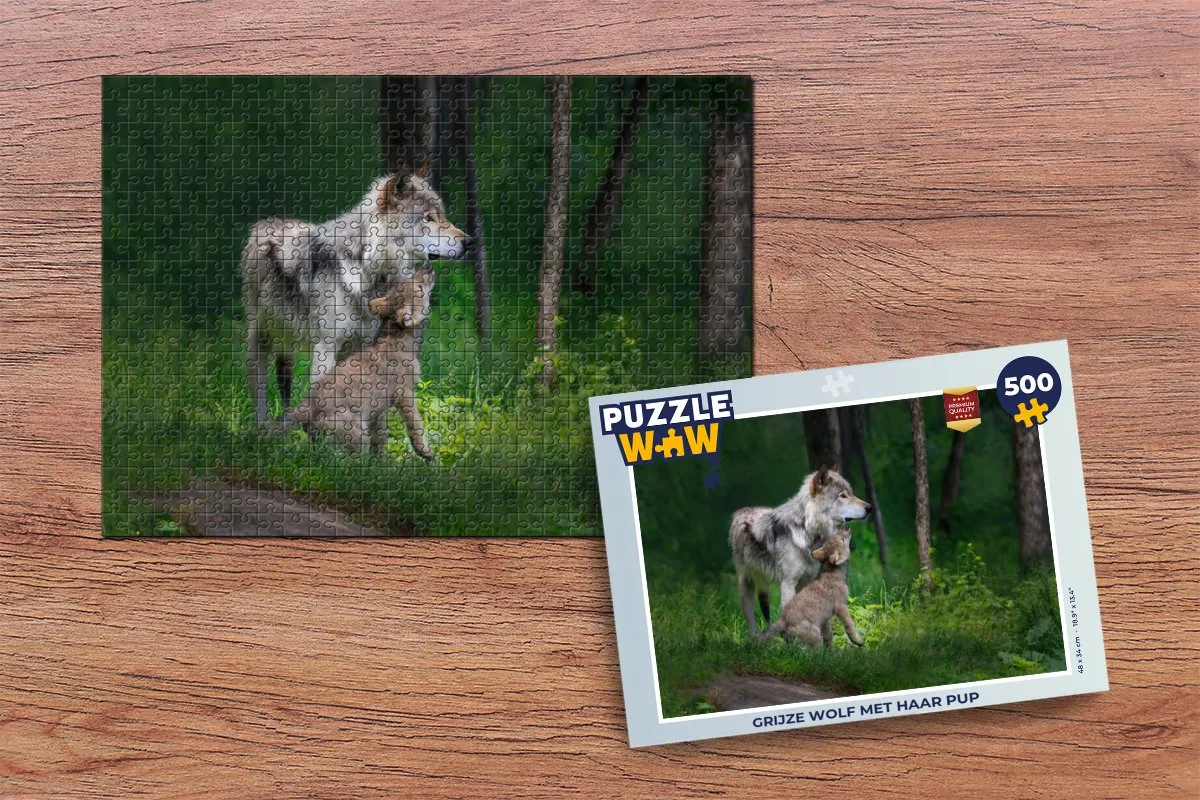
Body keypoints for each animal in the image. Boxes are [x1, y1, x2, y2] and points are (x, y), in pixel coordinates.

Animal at [240, 166, 470, 422]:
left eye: (443, 217)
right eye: (428, 218)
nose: (469, 241)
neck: (367, 267)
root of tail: (265, 223)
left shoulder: (362, 344)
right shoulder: (326, 346)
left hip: (286, 341)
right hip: (258, 344)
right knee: (260, 398)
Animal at [283, 274, 434, 458]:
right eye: (419, 288)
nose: (429, 270)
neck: (396, 339)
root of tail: (307, 405)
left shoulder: (377, 409)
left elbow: (380, 434)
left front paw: (380, 459)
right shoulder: (404, 393)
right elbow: (416, 425)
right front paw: (425, 451)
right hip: (357, 433)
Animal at [729, 465, 871, 637]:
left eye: (851, 493)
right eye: (842, 496)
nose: (870, 508)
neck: (807, 531)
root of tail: (743, 510)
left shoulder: (809, 581)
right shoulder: (788, 583)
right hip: (746, 584)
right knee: (750, 617)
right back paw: (756, 638)